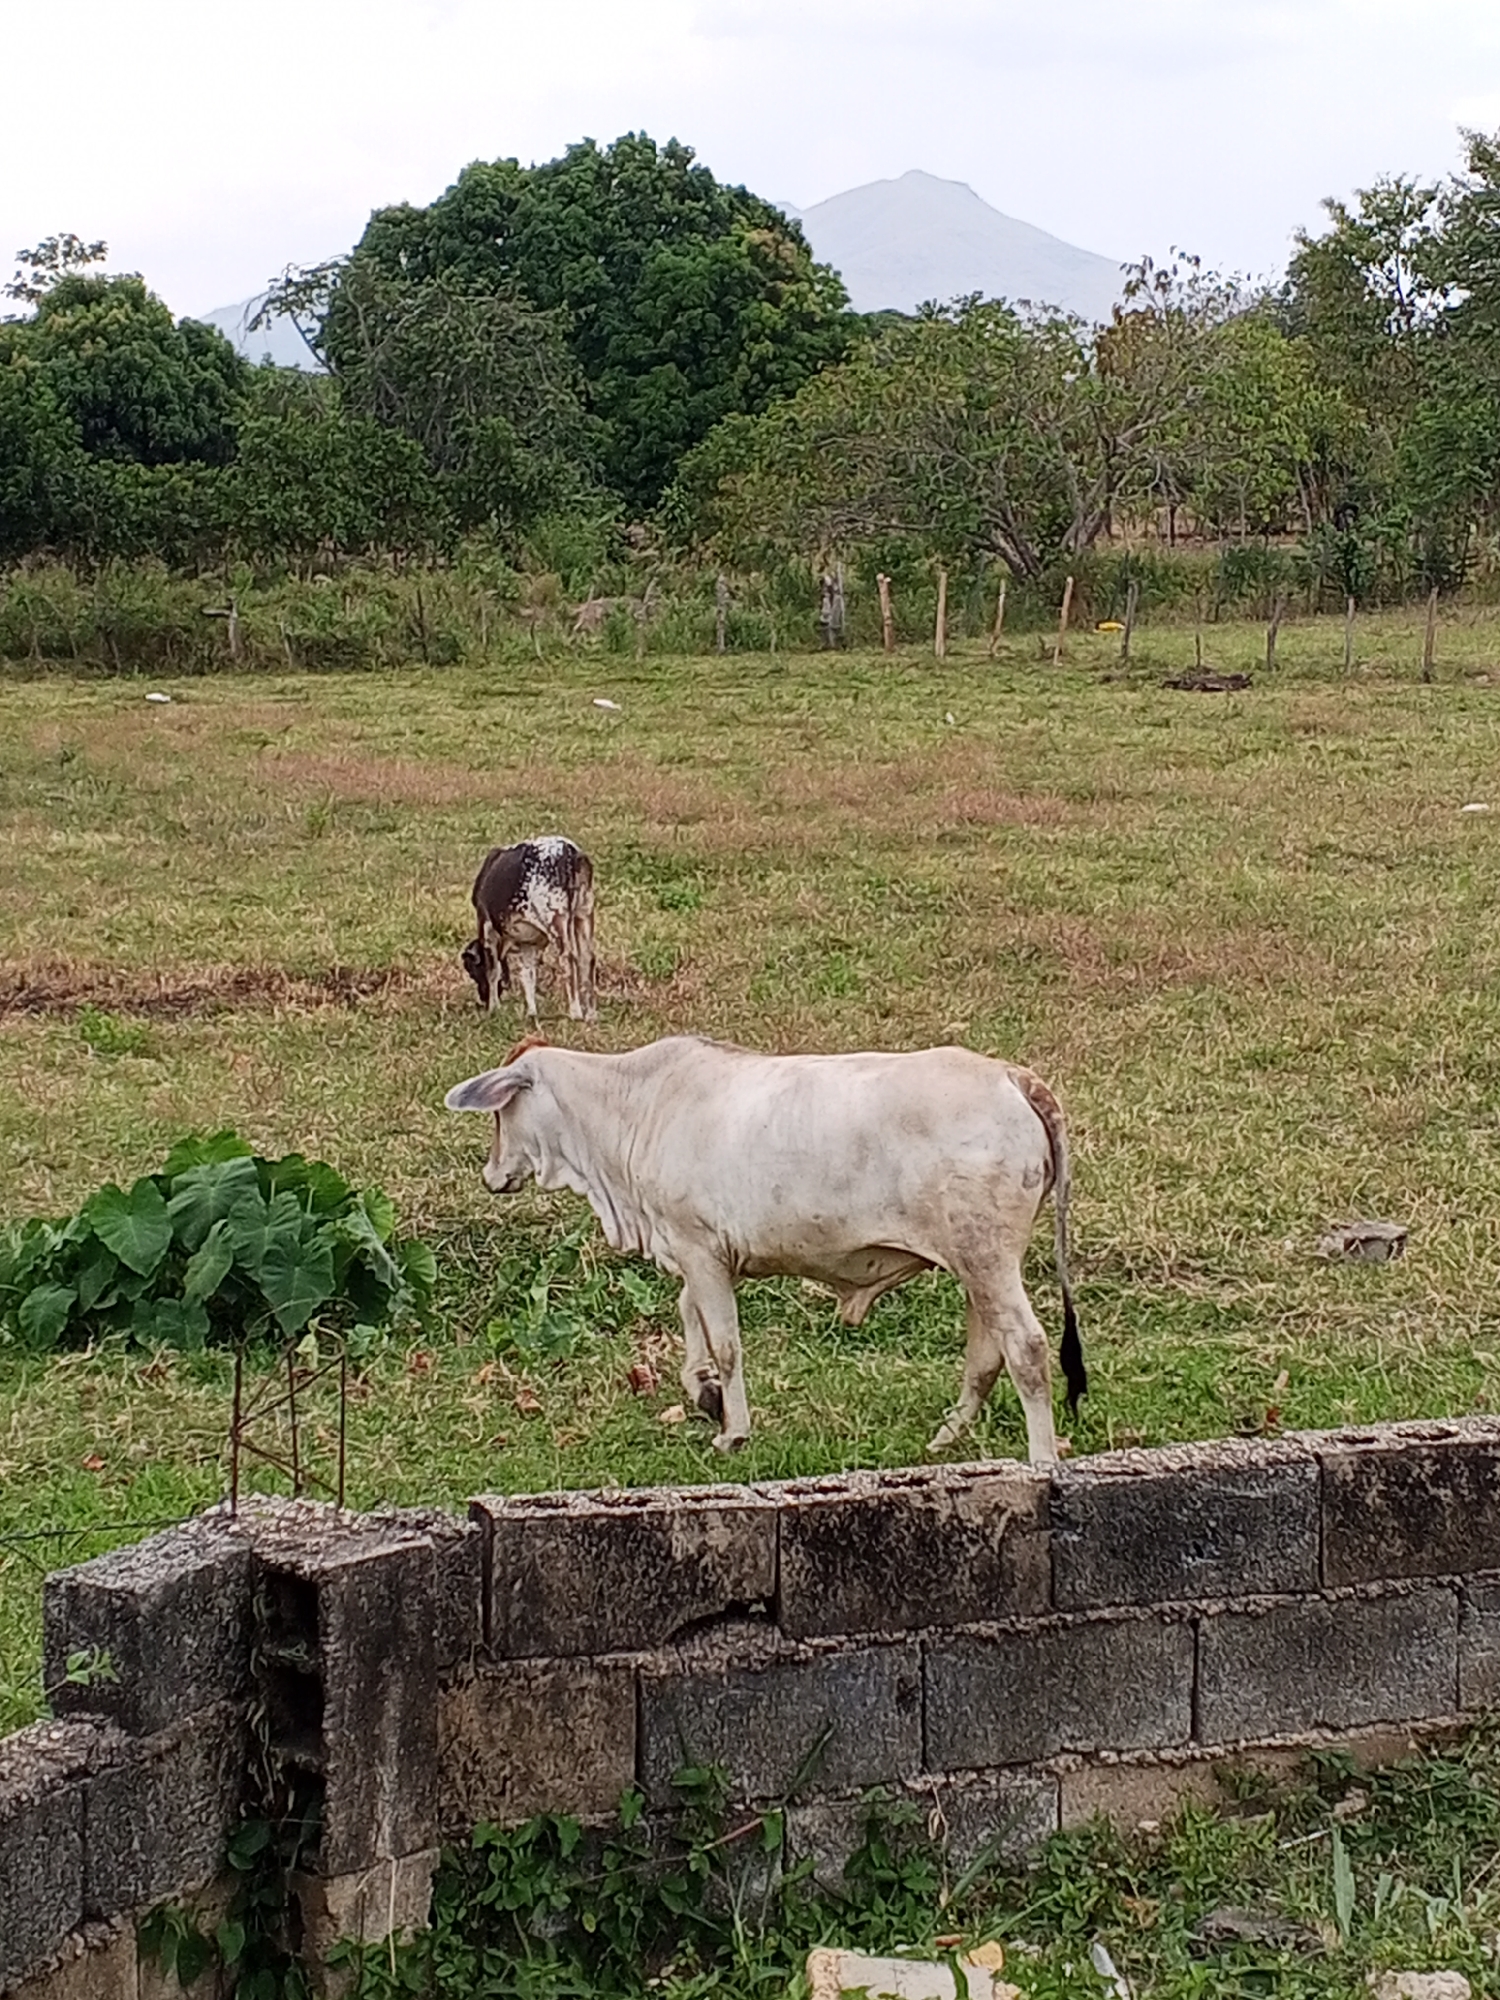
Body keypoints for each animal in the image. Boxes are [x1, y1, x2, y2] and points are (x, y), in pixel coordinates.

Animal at [445, 1035, 1084, 1462]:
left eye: (500, 1113)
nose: (492, 1174)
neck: (635, 1106)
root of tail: (1012, 1076)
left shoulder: (699, 1249)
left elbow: (726, 1344)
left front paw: (733, 1429)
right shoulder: (695, 1252)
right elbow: (690, 1317)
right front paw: (702, 1392)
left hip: (987, 1258)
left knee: (1026, 1348)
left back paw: (1041, 1460)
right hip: (980, 1265)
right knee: (986, 1355)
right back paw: (947, 1436)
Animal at [461, 837, 597, 1026]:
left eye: (472, 971)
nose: (483, 998)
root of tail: (569, 850)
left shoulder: (486, 926)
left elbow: (493, 971)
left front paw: (494, 1009)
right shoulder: (528, 942)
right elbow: (528, 974)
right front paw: (531, 1013)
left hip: (555, 917)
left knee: (567, 958)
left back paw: (575, 1013)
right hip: (584, 912)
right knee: (587, 958)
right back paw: (591, 1014)